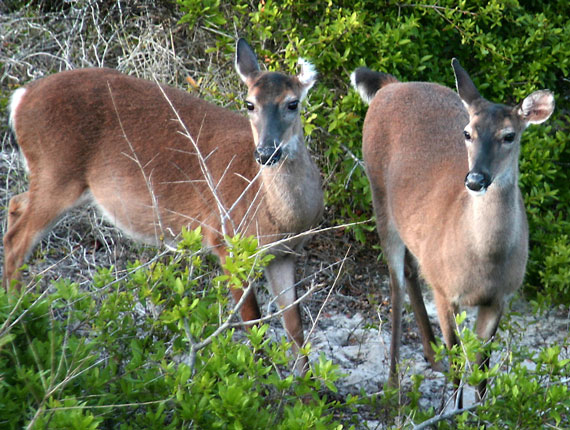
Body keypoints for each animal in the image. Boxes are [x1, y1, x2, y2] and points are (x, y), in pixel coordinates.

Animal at [4, 38, 322, 374]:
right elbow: (254, 321)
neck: (279, 218)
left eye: (292, 103)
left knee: (15, 204)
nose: (265, 152)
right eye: (250, 103)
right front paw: (258, 378)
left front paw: (307, 384)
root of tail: (21, 97)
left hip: (50, 178)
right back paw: (18, 320)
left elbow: (294, 326)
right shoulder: (226, 240)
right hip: (57, 172)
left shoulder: (285, 254)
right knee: (16, 240)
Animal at [348, 58, 552, 406]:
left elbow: (482, 366)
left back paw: (431, 357)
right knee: (396, 282)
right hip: (379, 195)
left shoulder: (499, 298)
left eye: (509, 135)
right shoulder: (445, 291)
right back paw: (393, 381)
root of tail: (391, 86)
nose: (475, 179)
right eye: (467, 133)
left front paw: (481, 411)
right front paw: (450, 409)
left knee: (411, 270)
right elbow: (458, 358)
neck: (484, 261)